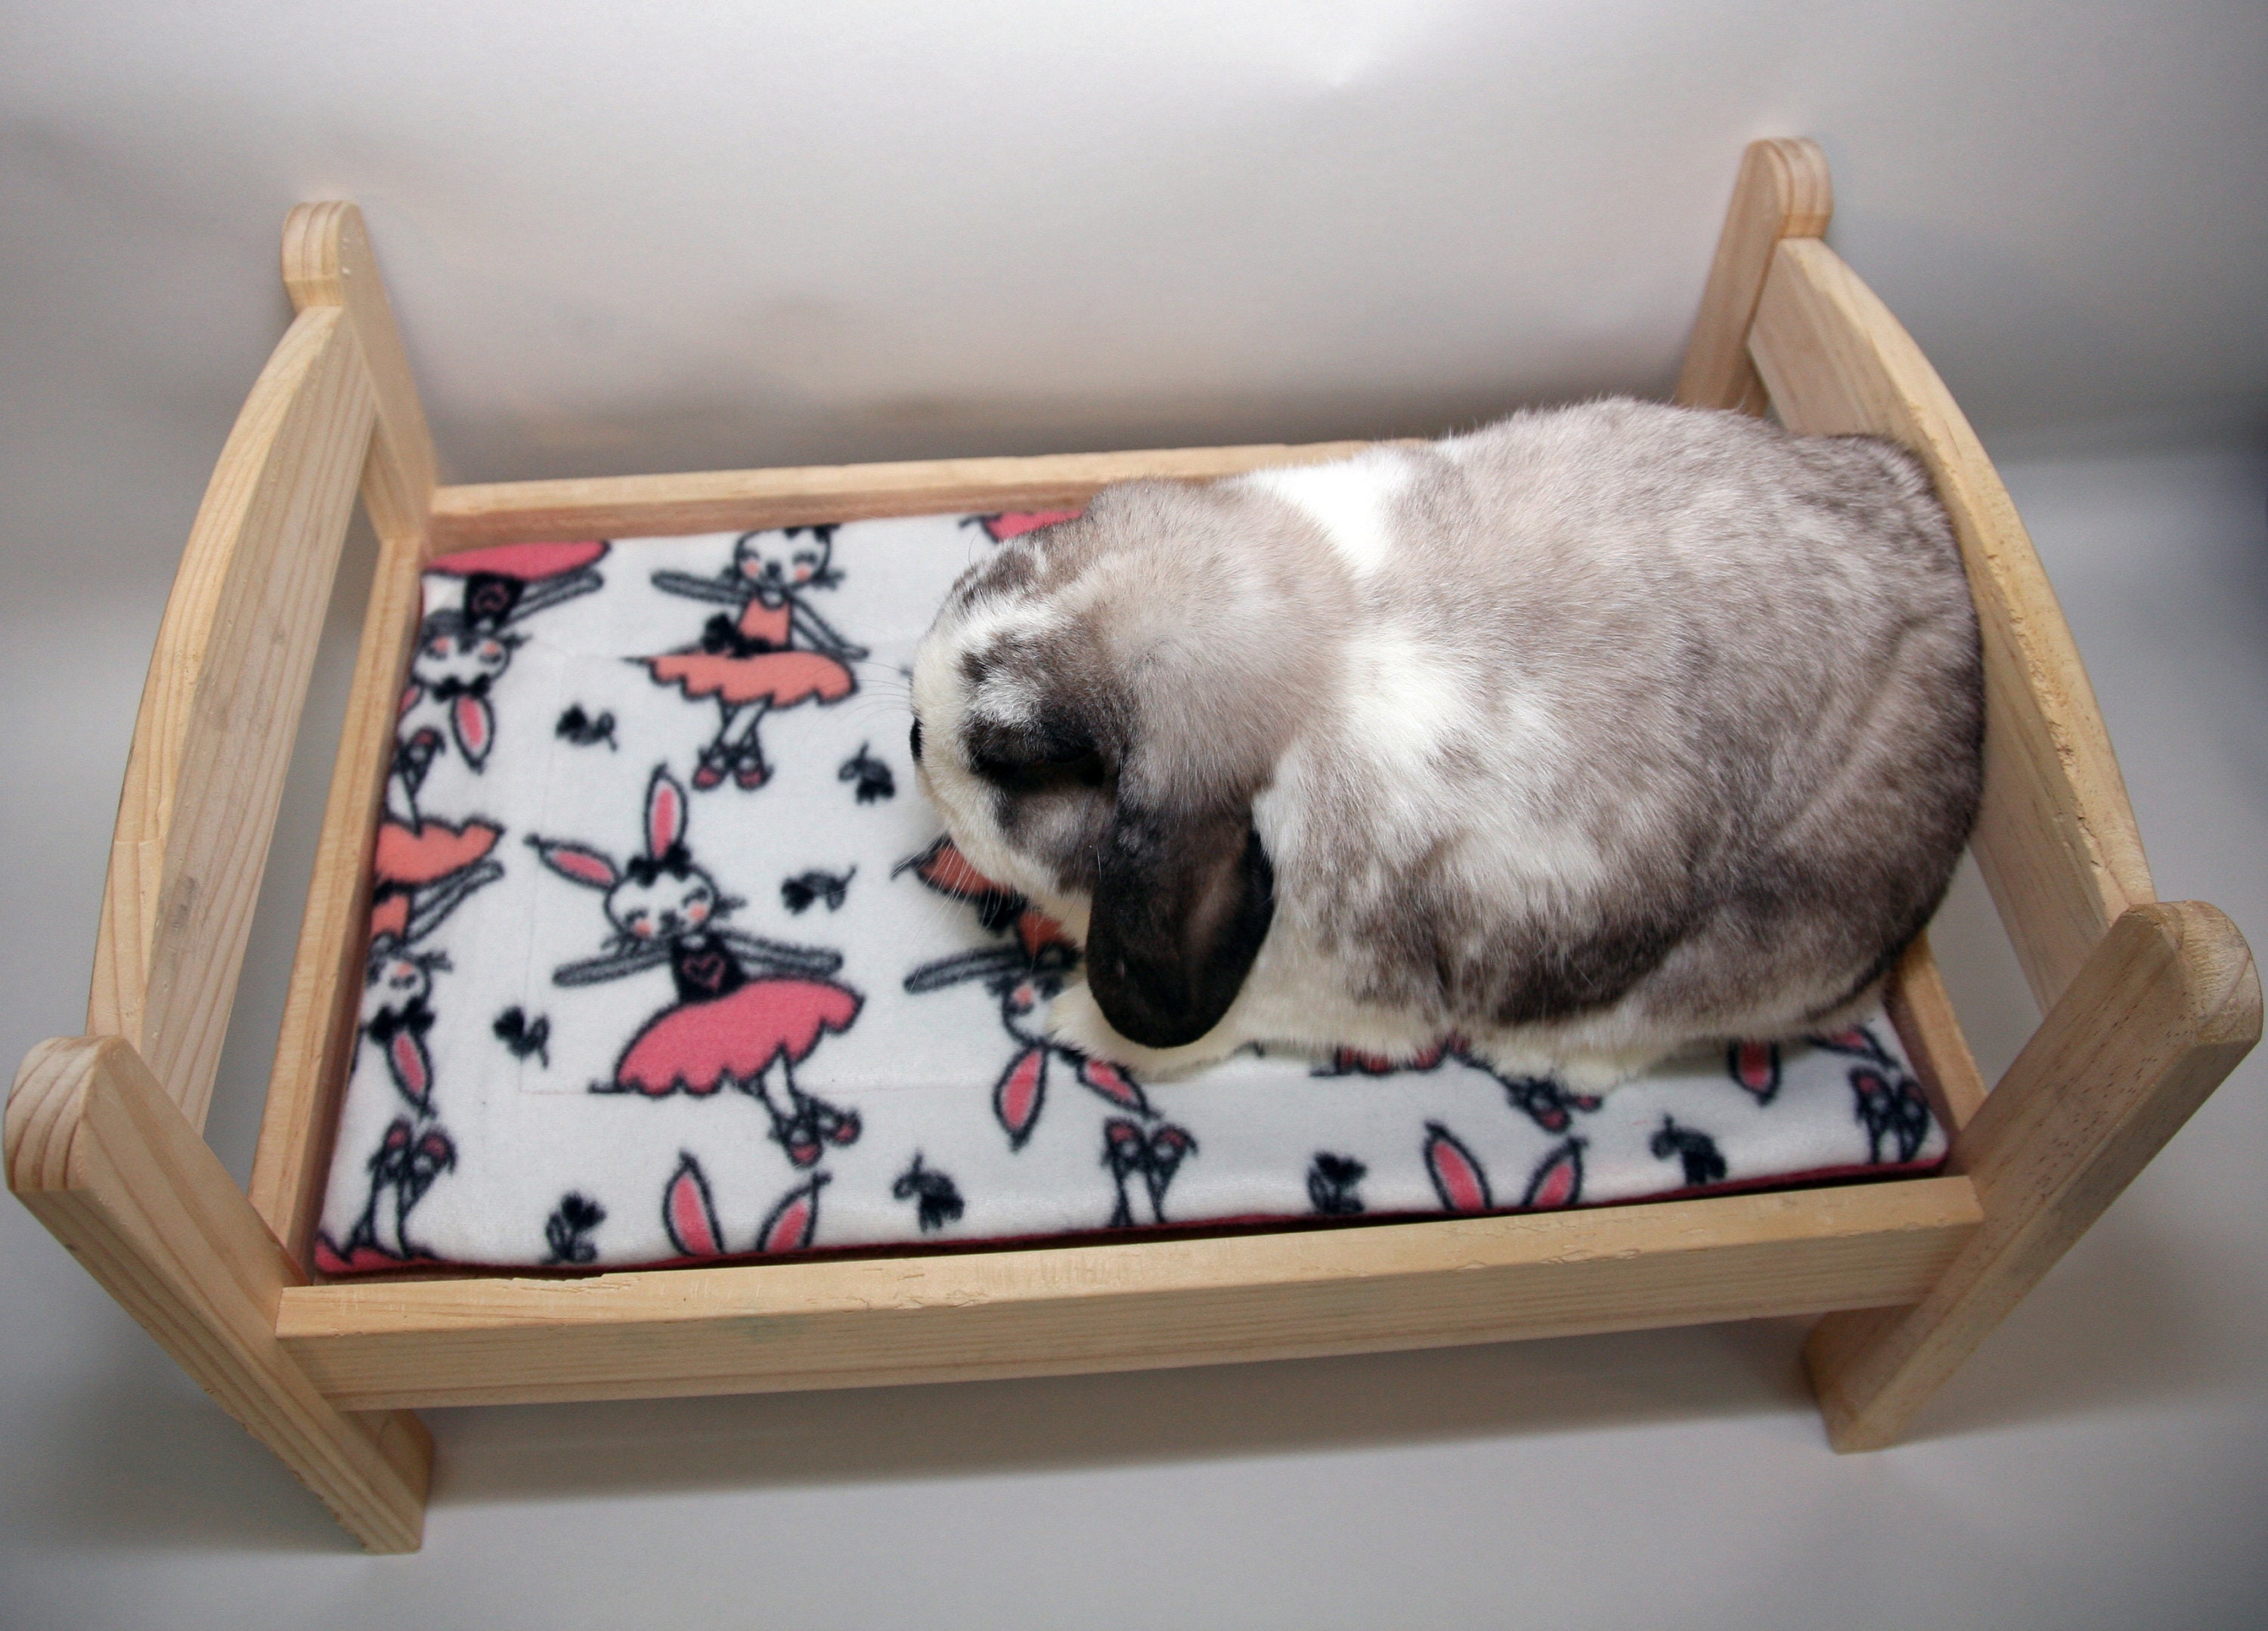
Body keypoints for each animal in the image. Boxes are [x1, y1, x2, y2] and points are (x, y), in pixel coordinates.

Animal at [907, 397, 1983, 1093]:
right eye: (1014, 559)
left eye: (1025, 762)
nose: (913, 729)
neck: (1312, 648)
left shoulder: (1321, 990)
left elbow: (1212, 1028)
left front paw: (1078, 1025)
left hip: (1716, 970)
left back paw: (1539, 1059)